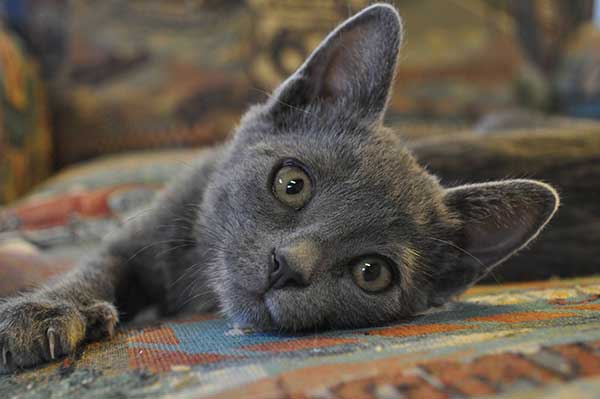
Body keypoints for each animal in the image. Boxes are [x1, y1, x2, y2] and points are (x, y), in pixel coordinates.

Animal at [0, 3, 556, 374]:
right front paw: (44, 312)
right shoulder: (143, 233)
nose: (288, 265)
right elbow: (95, 268)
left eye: (372, 272)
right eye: (292, 183)